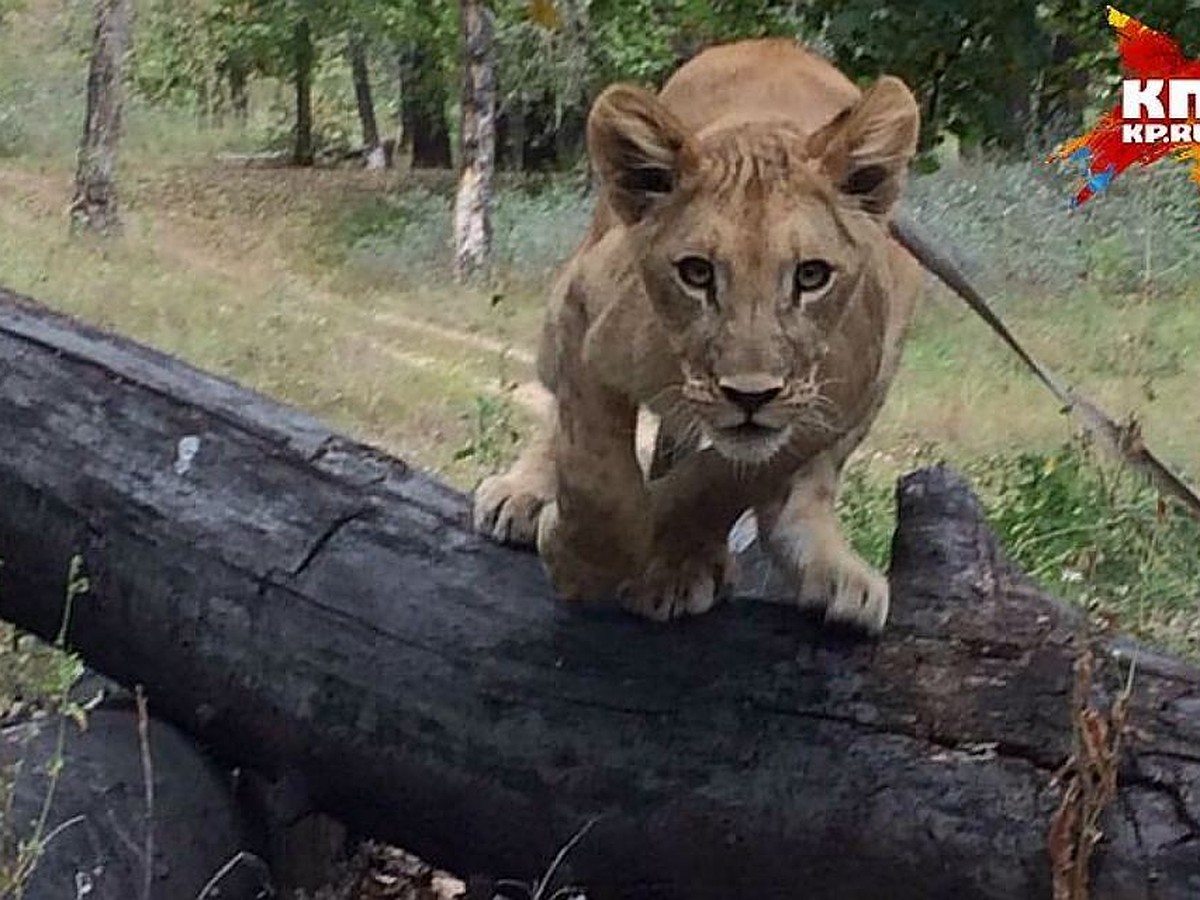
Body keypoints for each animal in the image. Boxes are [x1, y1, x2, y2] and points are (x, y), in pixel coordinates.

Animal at [472, 38, 921, 633]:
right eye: (697, 273)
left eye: (811, 275)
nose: (750, 395)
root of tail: (775, 43)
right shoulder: (582, 309)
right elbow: (597, 474)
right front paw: (579, 560)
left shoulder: (835, 402)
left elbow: (713, 487)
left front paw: (670, 560)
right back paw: (521, 496)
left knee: (800, 492)